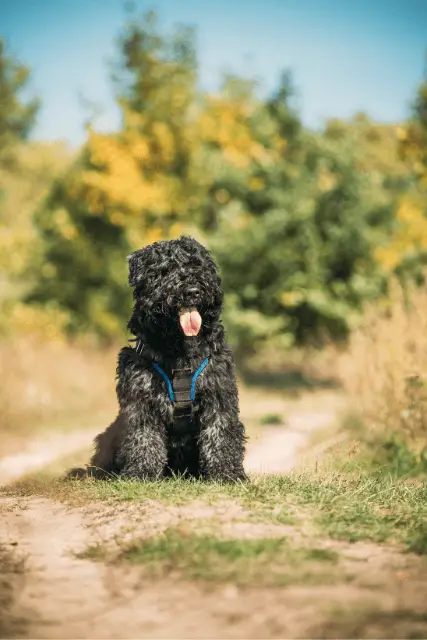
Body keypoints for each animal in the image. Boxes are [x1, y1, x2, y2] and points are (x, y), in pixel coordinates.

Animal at [83, 238, 247, 482]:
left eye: (197, 266)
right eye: (166, 270)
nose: (192, 291)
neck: (180, 350)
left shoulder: (218, 393)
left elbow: (220, 433)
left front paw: (227, 473)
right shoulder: (141, 398)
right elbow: (144, 438)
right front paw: (142, 472)